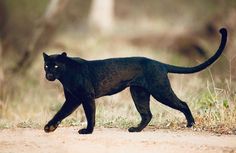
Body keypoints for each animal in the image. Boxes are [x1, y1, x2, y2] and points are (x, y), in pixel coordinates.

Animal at [42, 27, 227, 134]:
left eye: (56, 66)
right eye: (46, 66)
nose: (49, 75)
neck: (65, 76)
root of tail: (159, 63)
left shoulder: (85, 97)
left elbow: (89, 114)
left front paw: (88, 131)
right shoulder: (73, 98)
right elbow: (61, 112)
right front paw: (50, 127)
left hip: (160, 91)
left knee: (183, 103)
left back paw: (190, 124)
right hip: (139, 93)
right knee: (147, 114)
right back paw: (136, 129)